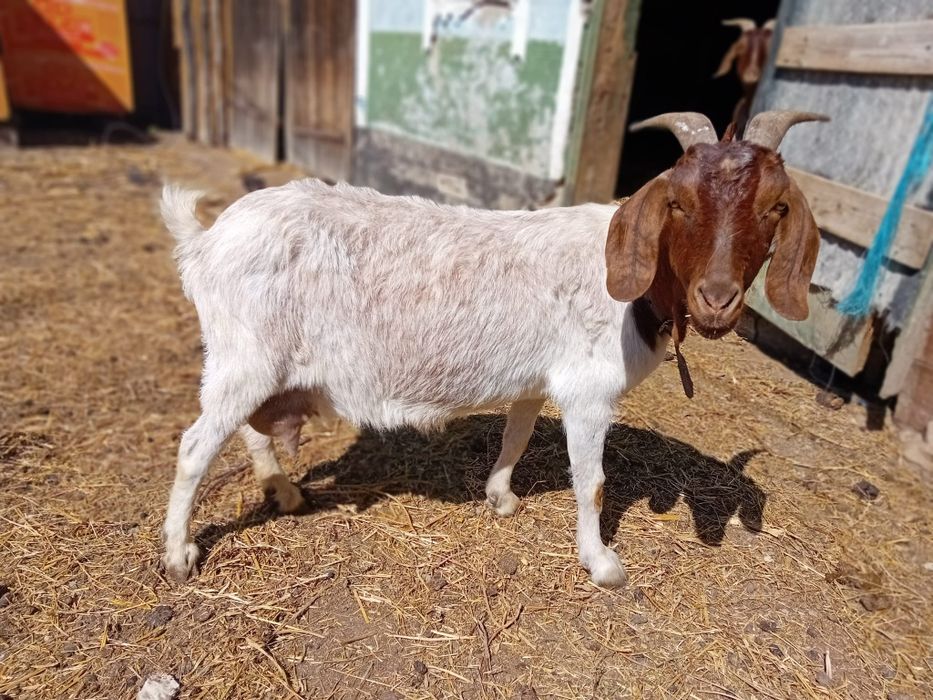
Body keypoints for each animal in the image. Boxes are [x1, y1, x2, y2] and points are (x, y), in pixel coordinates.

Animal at [160, 110, 825, 587]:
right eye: (679, 203)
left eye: (775, 207)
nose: (718, 299)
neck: (631, 284)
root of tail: (204, 242)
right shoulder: (588, 392)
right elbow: (593, 481)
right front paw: (602, 564)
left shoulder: (537, 380)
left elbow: (517, 436)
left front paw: (501, 497)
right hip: (245, 356)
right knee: (196, 447)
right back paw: (178, 554)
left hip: (263, 364)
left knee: (249, 429)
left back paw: (284, 490)